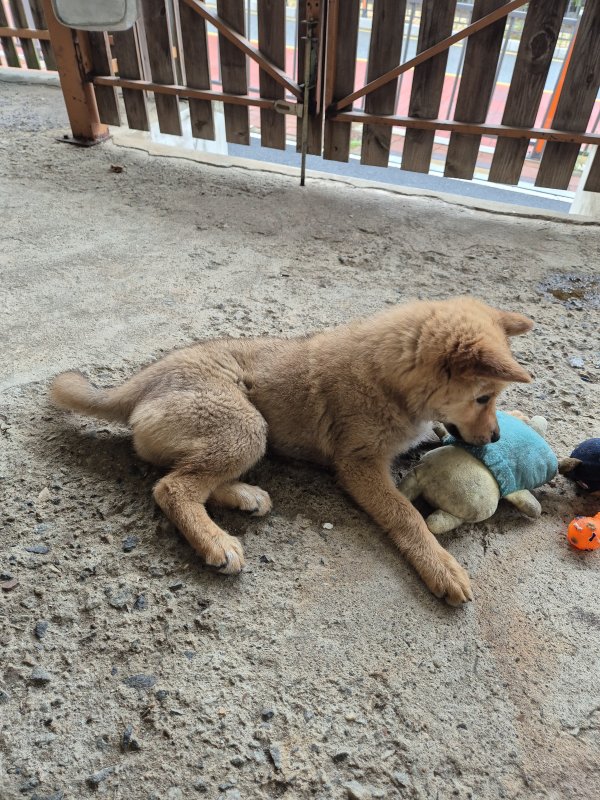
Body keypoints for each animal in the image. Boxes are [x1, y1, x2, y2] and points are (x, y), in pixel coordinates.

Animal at [50, 296, 528, 604]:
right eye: (483, 397)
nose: (495, 439)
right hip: (244, 426)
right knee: (173, 487)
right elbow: (406, 515)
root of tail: (141, 383)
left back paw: (245, 496)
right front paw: (441, 566)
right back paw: (216, 540)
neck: (390, 378)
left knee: (184, 473)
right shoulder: (358, 465)